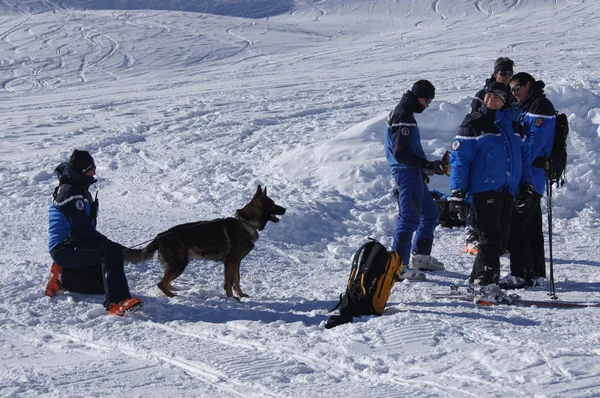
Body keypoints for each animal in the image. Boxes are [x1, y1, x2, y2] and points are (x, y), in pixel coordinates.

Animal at [122, 186, 286, 298]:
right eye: (273, 204)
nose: (285, 209)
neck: (246, 223)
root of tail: (160, 236)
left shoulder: (237, 262)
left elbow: (236, 281)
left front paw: (241, 295)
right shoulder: (230, 262)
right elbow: (228, 282)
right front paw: (232, 299)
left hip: (178, 264)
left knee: (166, 281)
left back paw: (174, 289)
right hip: (179, 264)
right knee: (161, 283)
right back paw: (173, 296)